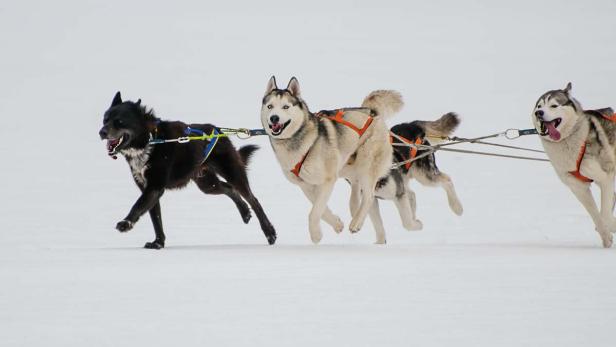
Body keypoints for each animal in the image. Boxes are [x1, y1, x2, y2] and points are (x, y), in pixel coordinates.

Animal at [99, 92, 276, 250]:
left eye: (119, 121)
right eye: (105, 120)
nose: (101, 132)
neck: (150, 140)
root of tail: (219, 130)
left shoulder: (154, 187)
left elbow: (138, 206)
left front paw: (126, 223)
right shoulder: (149, 189)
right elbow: (156, 219)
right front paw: (158, 243)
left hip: (232, 173)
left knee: (253, 199)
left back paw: (269, 232)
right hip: (207, 184)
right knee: (229, 188)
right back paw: (245, 212)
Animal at [258, 76, 400, 245]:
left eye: (286, 106)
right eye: (270, 106)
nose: (274, 118)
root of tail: (372, 112)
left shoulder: (328, 180)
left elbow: (314, 212)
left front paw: (316, 235)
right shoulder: (305, 185)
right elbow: (321, 209)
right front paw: (337, 224)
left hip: (367, 163)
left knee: (369, 196)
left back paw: (356, 222)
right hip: (346, 165)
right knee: (356, 185)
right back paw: (354, 208)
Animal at [532, 83, 612, 249]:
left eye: (554, 105)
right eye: (539, 106)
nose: (539, 113)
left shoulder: (605, 178)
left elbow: (605, 213)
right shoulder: (579, 188)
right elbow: (596, 216)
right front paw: (606, 235)